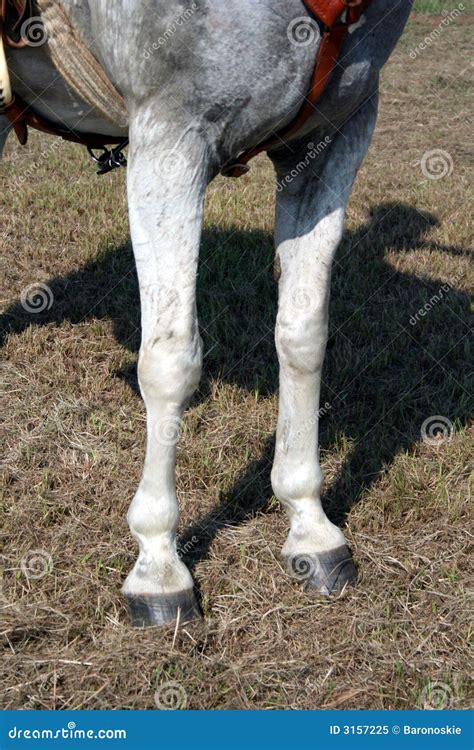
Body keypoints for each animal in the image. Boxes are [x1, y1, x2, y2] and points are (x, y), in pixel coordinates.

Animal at [1, 0, 413, 627]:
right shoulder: (170, 139)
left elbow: (302, 336)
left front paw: (310, 525)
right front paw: (157, 565)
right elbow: (170, 362)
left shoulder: (331, 138)